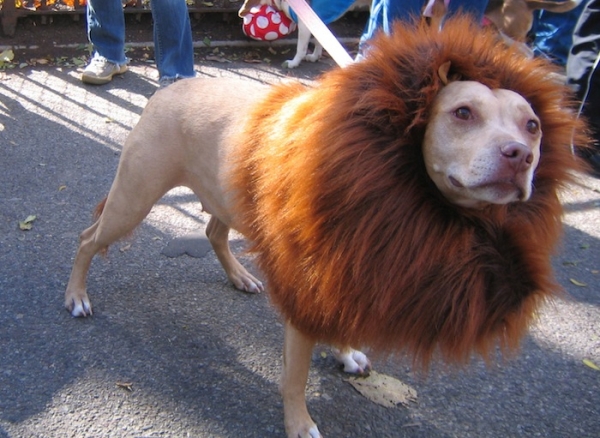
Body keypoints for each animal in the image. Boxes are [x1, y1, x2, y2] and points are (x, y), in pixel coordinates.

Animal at [239, 0, 370, 68]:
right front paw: (315, 56)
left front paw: (294, 63)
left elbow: (301, 49)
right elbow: (319, 40)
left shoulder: (304, 24)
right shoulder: (317, 20)